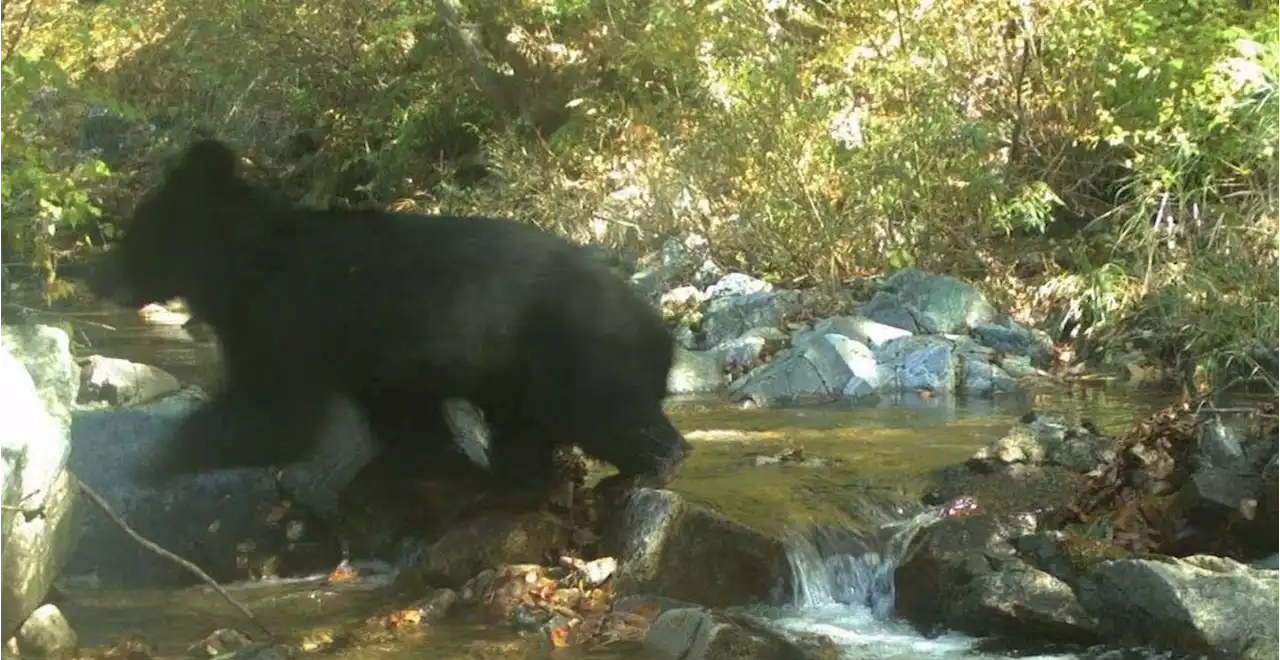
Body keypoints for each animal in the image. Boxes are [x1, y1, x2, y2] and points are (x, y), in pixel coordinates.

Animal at [90, 136, 691, 503]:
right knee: (530, 429)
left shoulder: (287, 319)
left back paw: (647, 467)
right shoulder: (374, 360)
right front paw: (419, 465)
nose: (95, 277)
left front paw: (154, 461)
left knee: (606, 410)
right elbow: (401, 416)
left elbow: (273, 410)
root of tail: (659, 328)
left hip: (576, 352)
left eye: (135, 236)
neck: (242, 270)